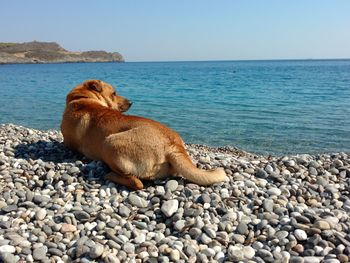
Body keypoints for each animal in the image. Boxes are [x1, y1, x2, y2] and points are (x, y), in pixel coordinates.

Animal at [60, 79, 227, 191]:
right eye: (114, 93)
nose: (131, 102)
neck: (83, 98)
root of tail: (173, 145)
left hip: (109, 143)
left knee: (136, 182)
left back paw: (109, 175)